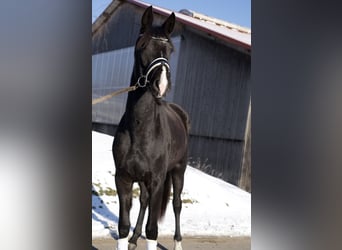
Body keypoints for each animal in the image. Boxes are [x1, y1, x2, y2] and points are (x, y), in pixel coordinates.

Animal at [114, 5, 190, 250]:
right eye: (142, 45)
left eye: (171, 49)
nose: (162, 85)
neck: (140, 129)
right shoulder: (123, 179)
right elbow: (123, 227)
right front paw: (129, 237)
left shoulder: (157, 180)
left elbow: (153, 229)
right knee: (144, 200)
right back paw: (134, 239)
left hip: (178, 171)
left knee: (176, 204)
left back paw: (177, 243)